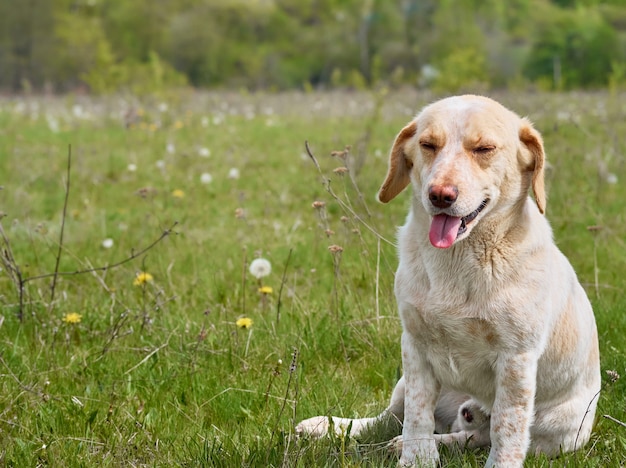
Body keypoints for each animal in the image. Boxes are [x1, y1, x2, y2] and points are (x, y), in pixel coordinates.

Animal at [298, 96, 600, 468]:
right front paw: (416, 458)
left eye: (484, 148)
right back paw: (333, 428)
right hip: (403, 382)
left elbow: (506, 429)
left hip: (555, 428)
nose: (440, 195)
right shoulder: (414, 344)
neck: (458, 259)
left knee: (477, 437)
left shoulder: (516, 358)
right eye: (428, 145)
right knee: (387, 419)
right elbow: (417, 415)